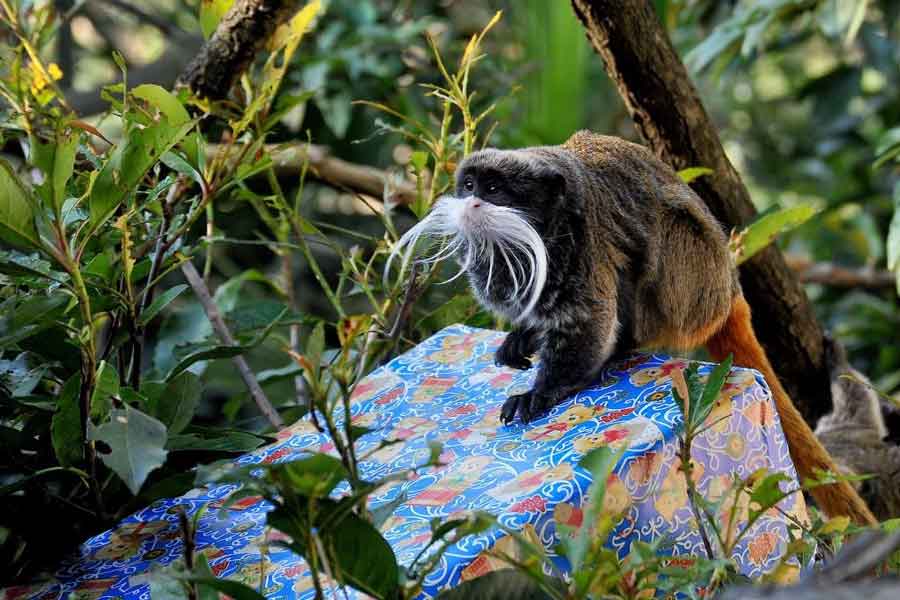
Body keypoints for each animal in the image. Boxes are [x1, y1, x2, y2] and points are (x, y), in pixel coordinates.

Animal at [390, 129, 876, 524]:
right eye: (470, 186)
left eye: (494, 190)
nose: (472, 203)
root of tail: (728, 290)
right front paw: (526, 336)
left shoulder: (584, 244)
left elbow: (590, 320)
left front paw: (540, 394)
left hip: (692, 283)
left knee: (655, 245)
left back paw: (625, 345)